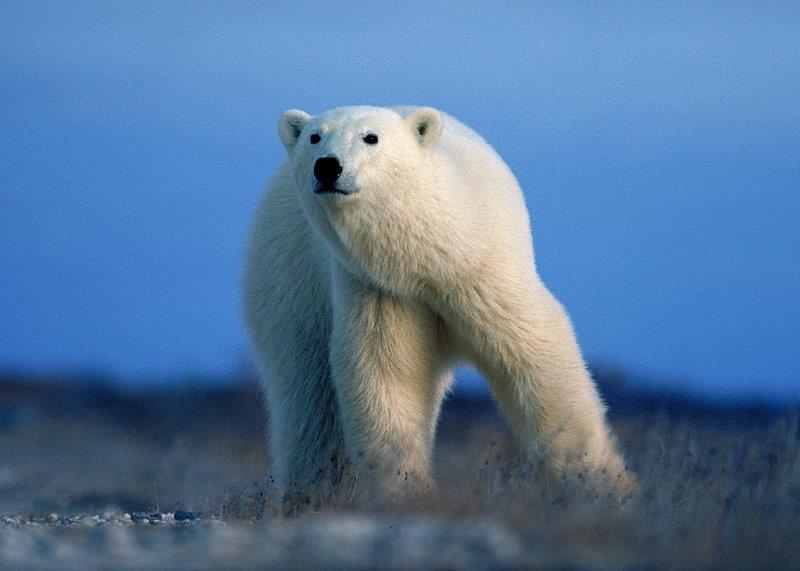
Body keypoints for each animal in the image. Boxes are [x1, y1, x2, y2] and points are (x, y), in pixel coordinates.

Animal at [243, 105, 627, 497]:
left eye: (371, 137)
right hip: (290, 276)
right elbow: (384, 373)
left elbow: (535, 354)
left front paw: (599, 481)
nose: (327, 166)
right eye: (315, 137)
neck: (429, 260)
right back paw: (312, 488)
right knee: (307, 390)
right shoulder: (381, 291)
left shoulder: (485, 273)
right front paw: (403, 486)